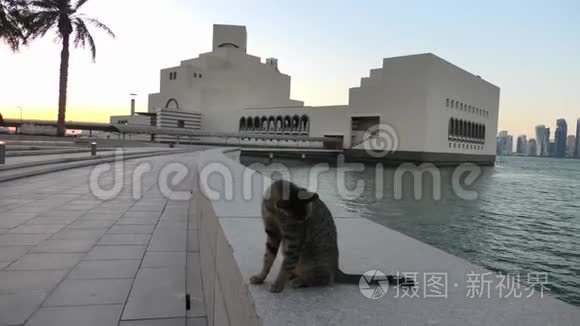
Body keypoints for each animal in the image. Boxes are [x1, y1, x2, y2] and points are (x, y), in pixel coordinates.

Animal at [250, 180, 412, 294]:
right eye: (299, 220)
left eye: (305, 220)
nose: (304, 225)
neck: (274, 213)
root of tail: (336, 269)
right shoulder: (272, 234)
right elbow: (267, 259)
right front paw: (260, 277)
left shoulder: (294, 241)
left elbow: (285, 265)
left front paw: (278, 284)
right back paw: (293, 277)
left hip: (310, 262)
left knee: (324, 280)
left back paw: (300, 281)